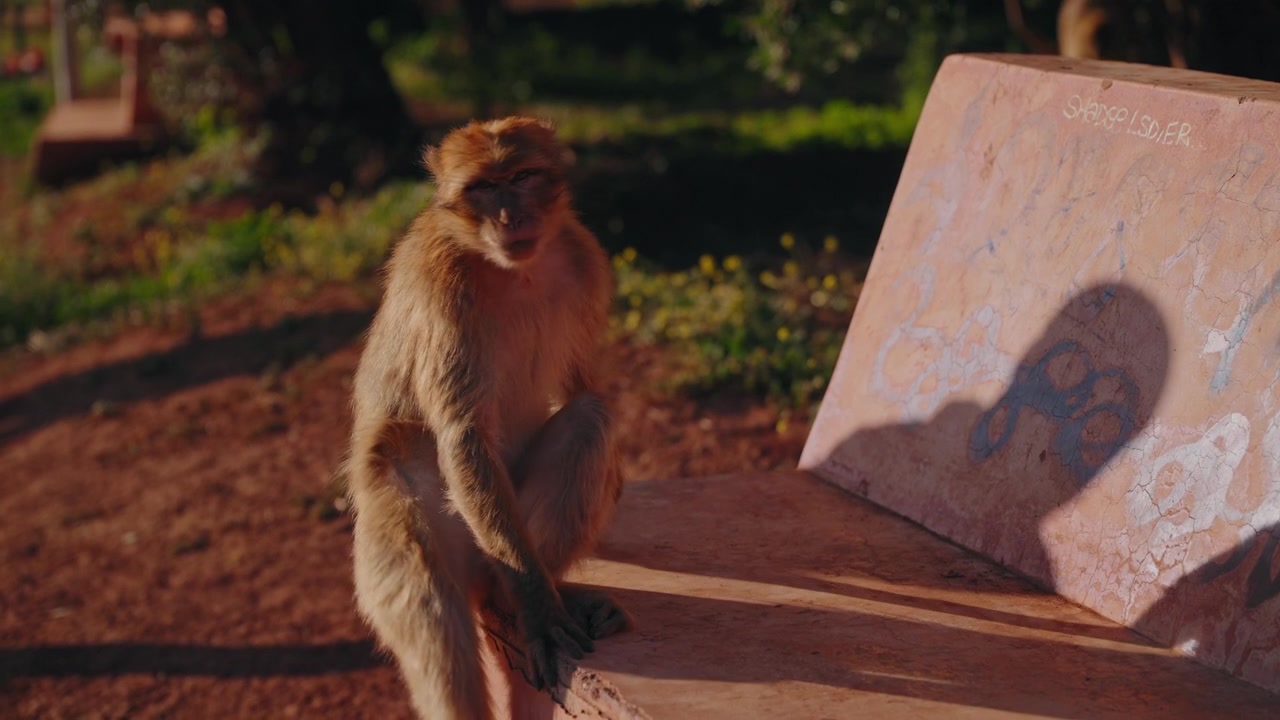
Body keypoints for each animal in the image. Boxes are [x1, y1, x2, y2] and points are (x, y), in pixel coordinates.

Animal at [343, 116, 630, 720]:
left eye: (520, 177)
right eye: (481, 187)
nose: (508, 217)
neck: (514, 270)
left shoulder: (586, 262)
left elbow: (579, 387)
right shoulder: (442, 287)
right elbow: (465, 433)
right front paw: (540, 614)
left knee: (592, 418)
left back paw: (531, 595)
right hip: (436, 522)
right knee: (431, 605)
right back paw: (522, 605)